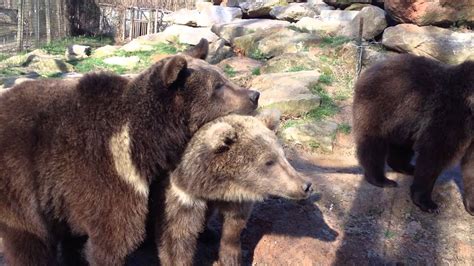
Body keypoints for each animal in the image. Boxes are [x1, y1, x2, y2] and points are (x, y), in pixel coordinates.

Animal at [0, 39, 260, 266]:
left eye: (224, 77)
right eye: (218, 86)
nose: (254, 95)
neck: (145, 145)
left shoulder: (162, 180)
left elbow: (174, 227)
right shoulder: (107, 174)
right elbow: (113, 238)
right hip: (22, 181)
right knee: (30, 238)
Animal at [156, 111, 312, 266]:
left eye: (283, 155)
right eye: (269, 162)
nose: (306, 185)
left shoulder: (237, 198)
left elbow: (234, 224)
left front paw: (230, 257)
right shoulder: (182, 195)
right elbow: (176, 235)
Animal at [354, 53, 474, 215]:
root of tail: (369, 69)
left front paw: (472, 206)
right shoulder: (451, 117)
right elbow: (435, 154)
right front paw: (427, 203)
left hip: (403, 121)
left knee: (401, 146)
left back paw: (407, 167)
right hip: (380, 106)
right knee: (373, 144)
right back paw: (381, 179)